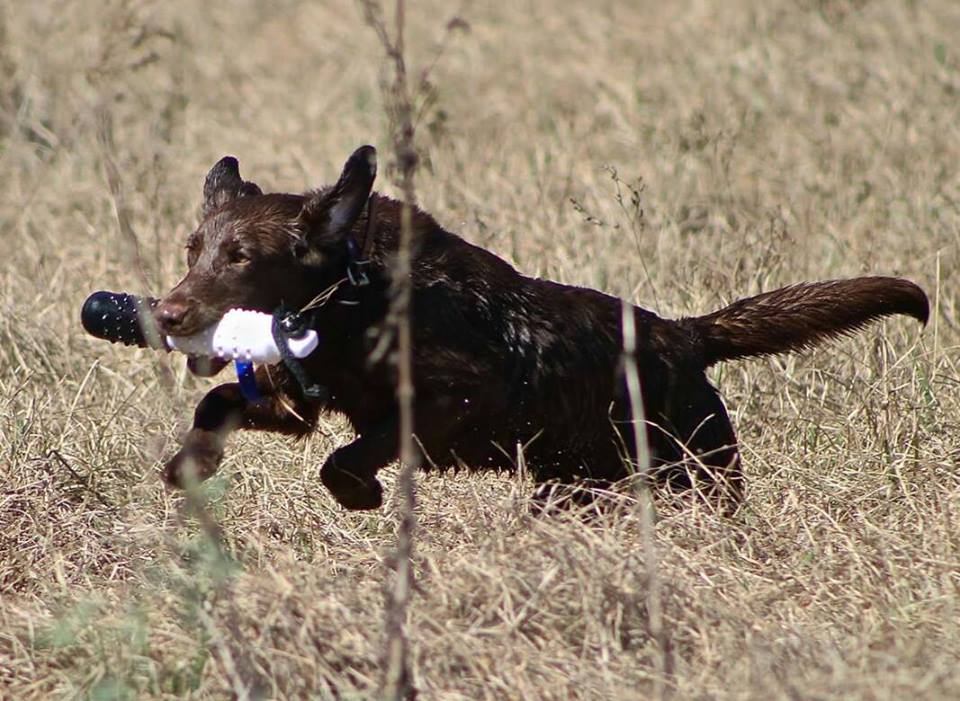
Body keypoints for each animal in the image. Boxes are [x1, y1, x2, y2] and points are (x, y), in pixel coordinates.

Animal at [156, 146, 928, 508]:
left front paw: (362, 492)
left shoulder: (465, 395)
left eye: (242, 257)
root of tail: (684, 337)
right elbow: (217, 402)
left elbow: (351, 454)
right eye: (193, 250)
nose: (167, 313)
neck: (353, 296)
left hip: (698, 474)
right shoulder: (297, 403)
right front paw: (191, 464)